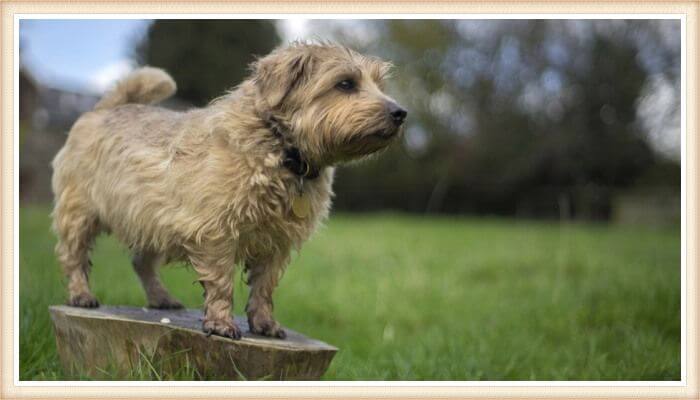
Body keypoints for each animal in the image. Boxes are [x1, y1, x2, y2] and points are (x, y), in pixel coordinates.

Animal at [52, 42, 408, 340]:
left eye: (380, 85)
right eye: (345, 84)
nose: (400, 113)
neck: (282, 150)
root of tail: (104, 108)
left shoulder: (277, 242)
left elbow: (264, 287)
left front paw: (265, 323)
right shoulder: (216, 230)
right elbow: (221, 282)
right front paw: (221, 323)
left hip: (151, 219)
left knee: (142, 262)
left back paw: (161, 298)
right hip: (80, 211)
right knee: (74, 255)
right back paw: (81, 294)